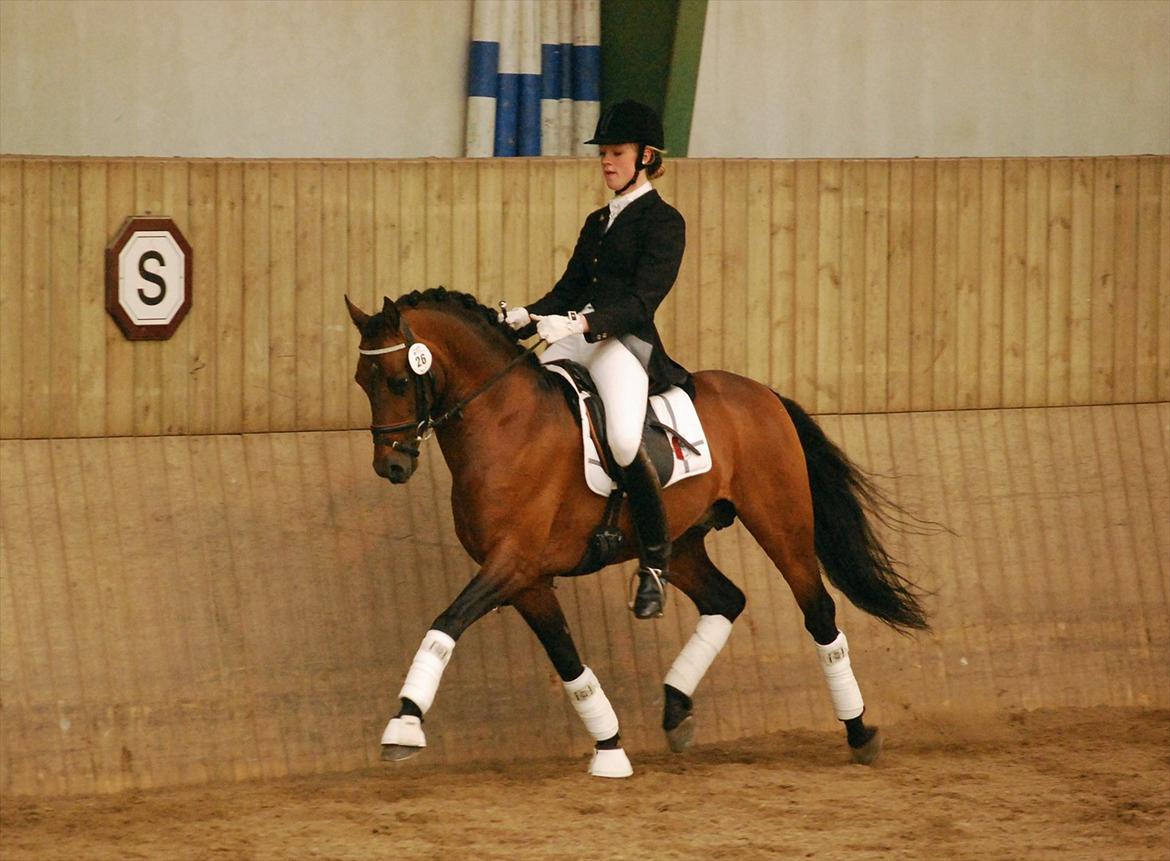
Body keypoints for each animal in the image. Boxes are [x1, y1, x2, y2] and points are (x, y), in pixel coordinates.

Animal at [341, 285, 926, 776]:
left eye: (399, 381)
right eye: (361, 382)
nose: (391, 466)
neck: (505, 421)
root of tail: (762, 393)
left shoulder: (512, 562)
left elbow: (446, 622)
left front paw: (404, 725)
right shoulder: (528, 580)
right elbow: (568, 660)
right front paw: (610, 749)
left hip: (781, 523)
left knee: (818, 611)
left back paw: (860, 733)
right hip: (679, 542)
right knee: (725, 599)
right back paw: (676, 709)